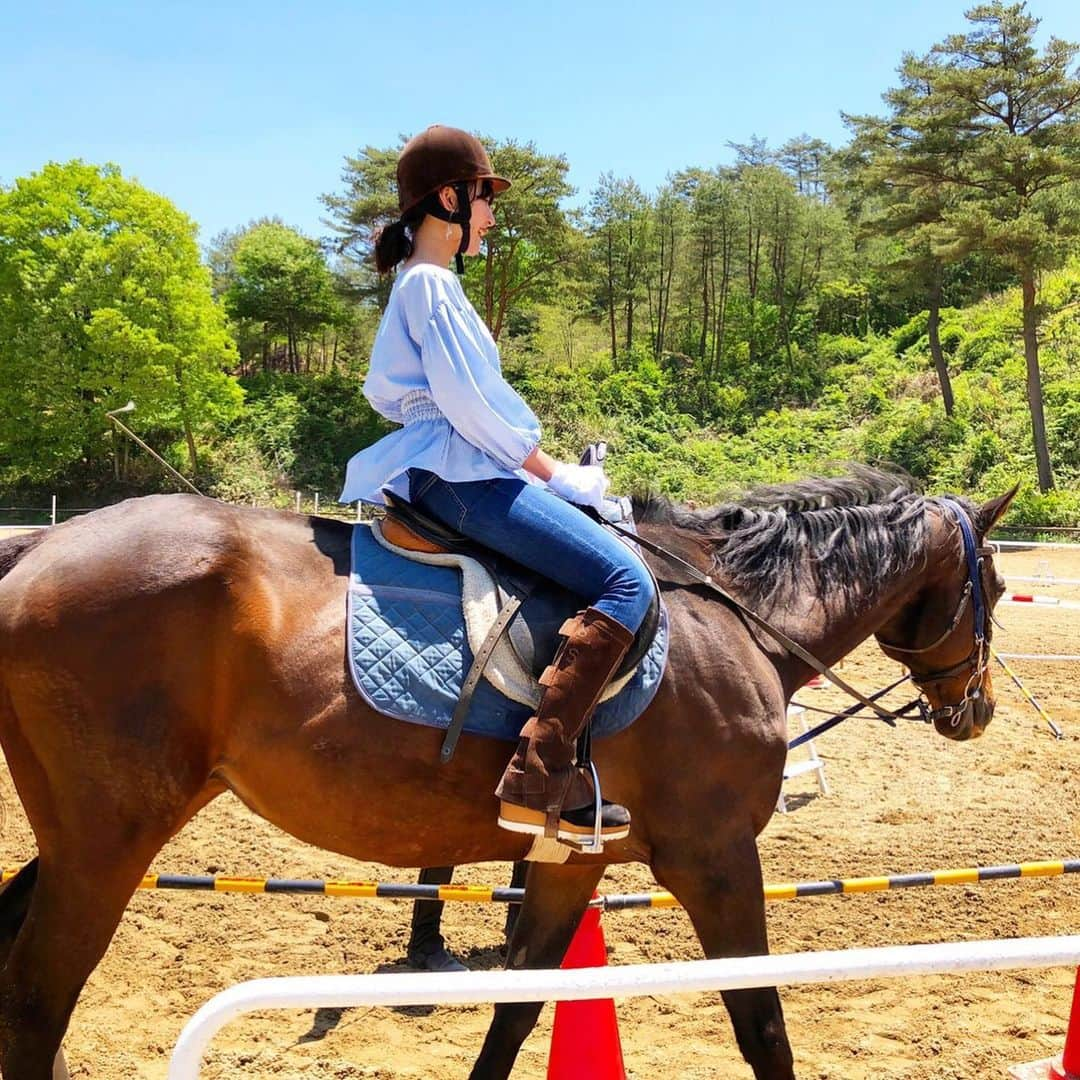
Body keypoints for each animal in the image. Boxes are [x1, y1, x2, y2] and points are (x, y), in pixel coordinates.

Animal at [0, 470, 1010, 1080]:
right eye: (994, 589)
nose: (979, 710)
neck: (737, 618)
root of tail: (41, 547)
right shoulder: (718, 859)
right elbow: (759, 1020)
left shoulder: (570, 863)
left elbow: (518, 1010)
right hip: (109, 838)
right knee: (40, 991)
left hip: (84, 833)